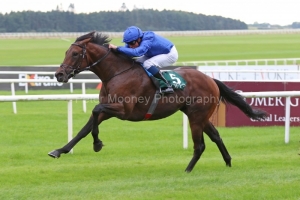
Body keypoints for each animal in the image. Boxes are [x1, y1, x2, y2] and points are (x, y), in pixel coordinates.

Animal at [48, 31, 268, 172]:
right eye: (66, 52)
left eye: (75, 53)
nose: (59, 75)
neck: (116, 73)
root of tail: (210, 79)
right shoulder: (109, 110)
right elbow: (84, 128)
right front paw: (60, 150)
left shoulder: (122, 110)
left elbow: (95, 109)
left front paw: (97, 144)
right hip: (198, 114)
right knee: (216, 137)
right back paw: (228, 162)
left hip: (197, 116)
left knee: (200, 145)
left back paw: (187, 170)